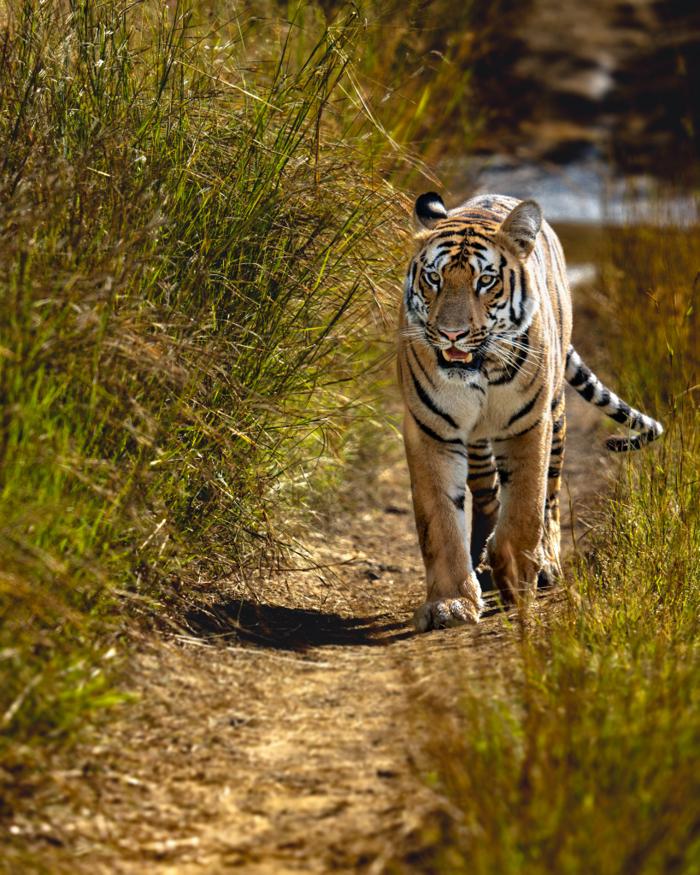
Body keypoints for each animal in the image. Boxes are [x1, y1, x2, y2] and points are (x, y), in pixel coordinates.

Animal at [398, 191, 663, 631]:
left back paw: (545, 561)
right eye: (434, 279)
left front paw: (518, 578)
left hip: (555, 416)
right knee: (486, 493)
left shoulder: (527, 426)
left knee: (551, 496)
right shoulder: (432, 429)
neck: (479, 371)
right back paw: (483, 556)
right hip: (478, 444)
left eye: (485, 281)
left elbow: (526, 507)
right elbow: (439, 521)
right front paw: (451, 603)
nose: (452, 334)